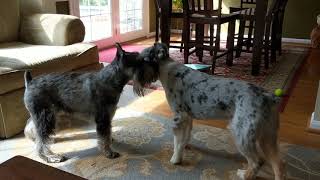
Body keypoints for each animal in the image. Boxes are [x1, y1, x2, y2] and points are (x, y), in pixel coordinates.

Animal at [23, 43, 158, 163]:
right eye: (139, 61)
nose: (155, 72)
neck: (110, 79)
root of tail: (29, 82)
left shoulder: (108, 117)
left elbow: (107, 133)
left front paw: (110, 142)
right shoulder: (103, 118)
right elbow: (104, 136)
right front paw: (108, 152)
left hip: (44, 114)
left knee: (32, 127)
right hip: (45, 116)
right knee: (40, 140)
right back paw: (50, 157)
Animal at [140, 43, 284, 180]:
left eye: (142, 59)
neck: (167, 69)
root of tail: (267, 96)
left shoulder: (178, 117)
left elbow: (177, 142)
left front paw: (175, 159)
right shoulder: (188, 118)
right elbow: (185, 137)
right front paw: (185, 148)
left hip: (242, 134)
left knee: (257, 162)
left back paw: (243, 175)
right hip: (268, 137)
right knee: (277, 163)